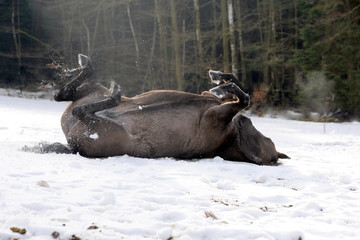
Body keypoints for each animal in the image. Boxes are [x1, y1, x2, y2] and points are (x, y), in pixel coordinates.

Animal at [31, 54, 290, 165]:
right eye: (265, 138)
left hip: (102, 127)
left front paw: (223, 84)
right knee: (63, 94)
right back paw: (87, 67)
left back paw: (113, 94)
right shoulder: (212, 103)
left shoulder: (218, 115)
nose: (244, 122)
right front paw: (219, 79)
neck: (230, 137)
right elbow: (237, 89)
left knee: (79, 109)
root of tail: (71, 145)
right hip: (94, 91)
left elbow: (244, 99)